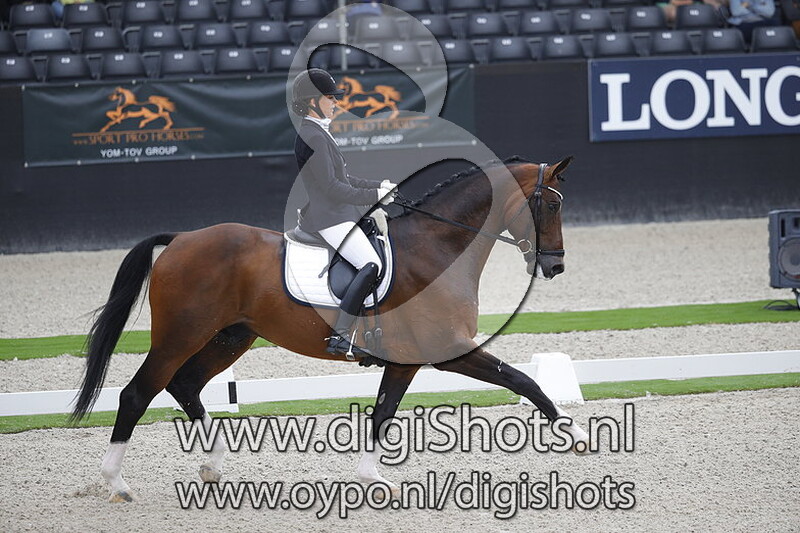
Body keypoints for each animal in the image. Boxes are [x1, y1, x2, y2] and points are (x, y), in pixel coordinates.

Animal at [71, 155, 589, 503]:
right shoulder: (450, 348)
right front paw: (575, 434)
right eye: (551, 205)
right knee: (138, 393)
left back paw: (213, 466)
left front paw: (371, 478)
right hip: (182, 333)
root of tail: (181, 239)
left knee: (184, 384)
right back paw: (118, 484)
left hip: (231, 337)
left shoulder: (407, 361)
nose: (556, 266)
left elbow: (383, 413)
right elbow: (523, 379)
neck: (436, 247)